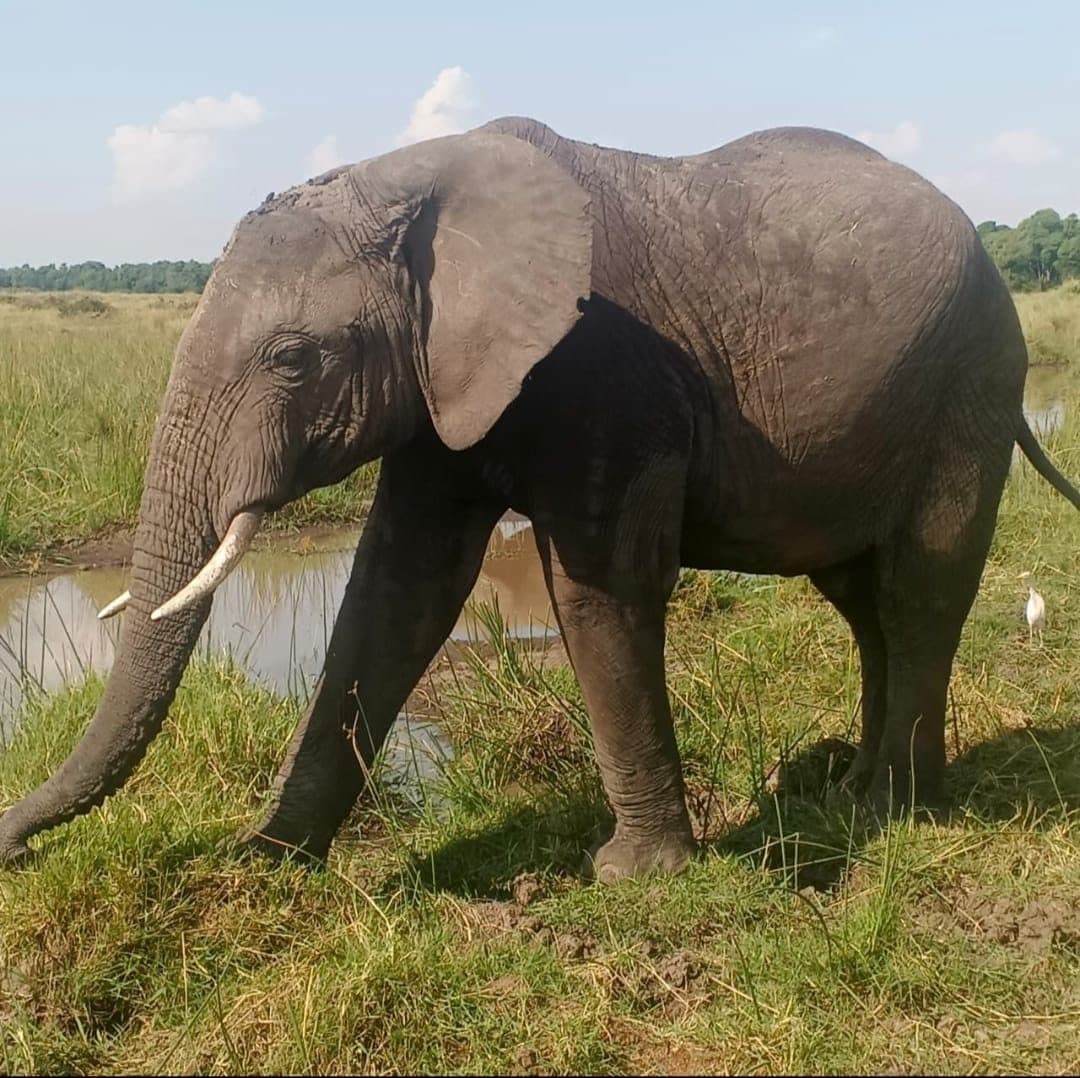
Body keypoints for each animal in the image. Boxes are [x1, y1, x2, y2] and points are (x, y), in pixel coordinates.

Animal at [2, 117, 1078, 881]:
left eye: (294, 358)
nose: (15, 847)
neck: (414, 178)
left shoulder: (607, 369)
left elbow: (600, 592)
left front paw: (635, 878)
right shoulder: (445, 384)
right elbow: (396, 591)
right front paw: (267, 862)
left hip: (972, 380)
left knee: (918, 588)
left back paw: (889, 807)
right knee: (860, 602)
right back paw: (854, 788)